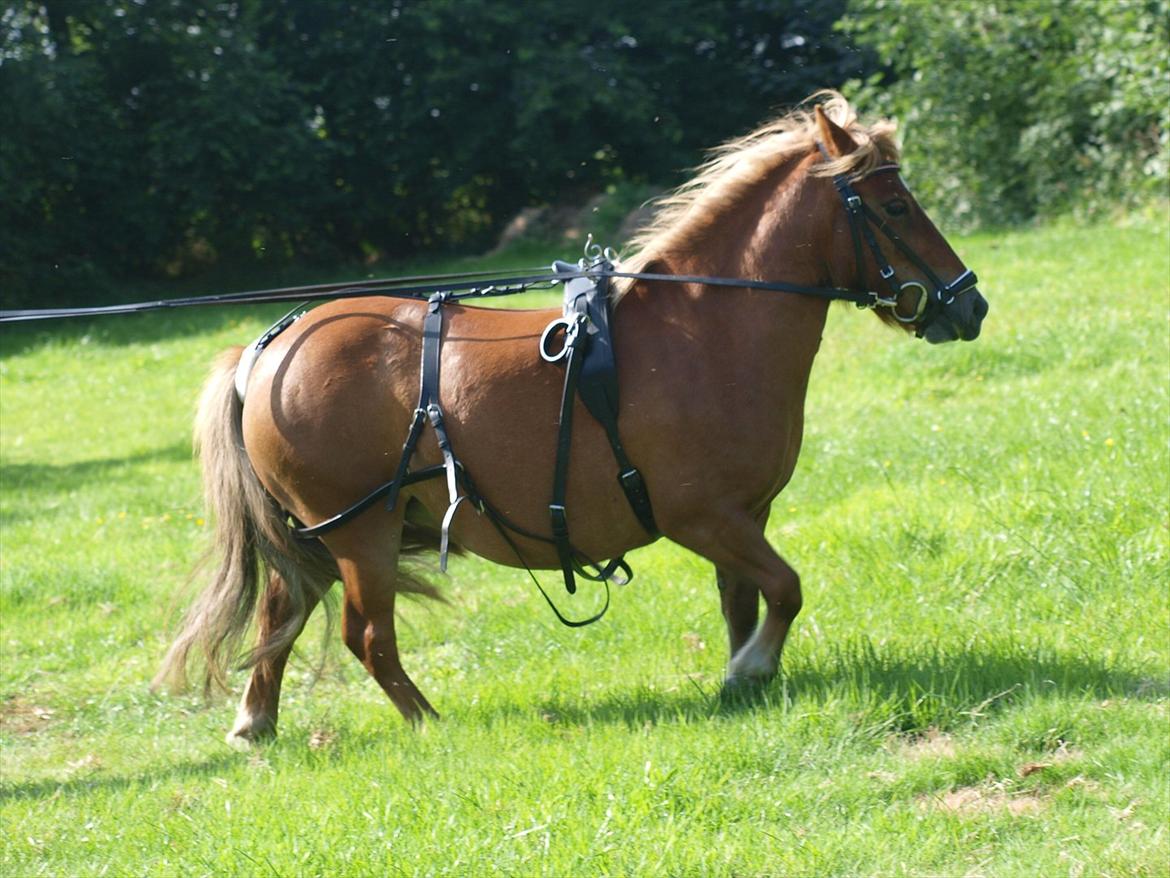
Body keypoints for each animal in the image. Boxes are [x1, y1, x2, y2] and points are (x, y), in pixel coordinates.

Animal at [157, 94, 987, 744]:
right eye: (893, 206)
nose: (970, 302)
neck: (709, 326)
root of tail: (267, 347)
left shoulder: (742, 517)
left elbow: (743, 601)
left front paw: (744, 675)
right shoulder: (703, 517)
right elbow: (785, 589)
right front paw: (751, 668)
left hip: (322, 537)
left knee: (282, 612)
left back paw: (256, 722)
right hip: (362, 531)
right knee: (366, 636)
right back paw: (426, 723)